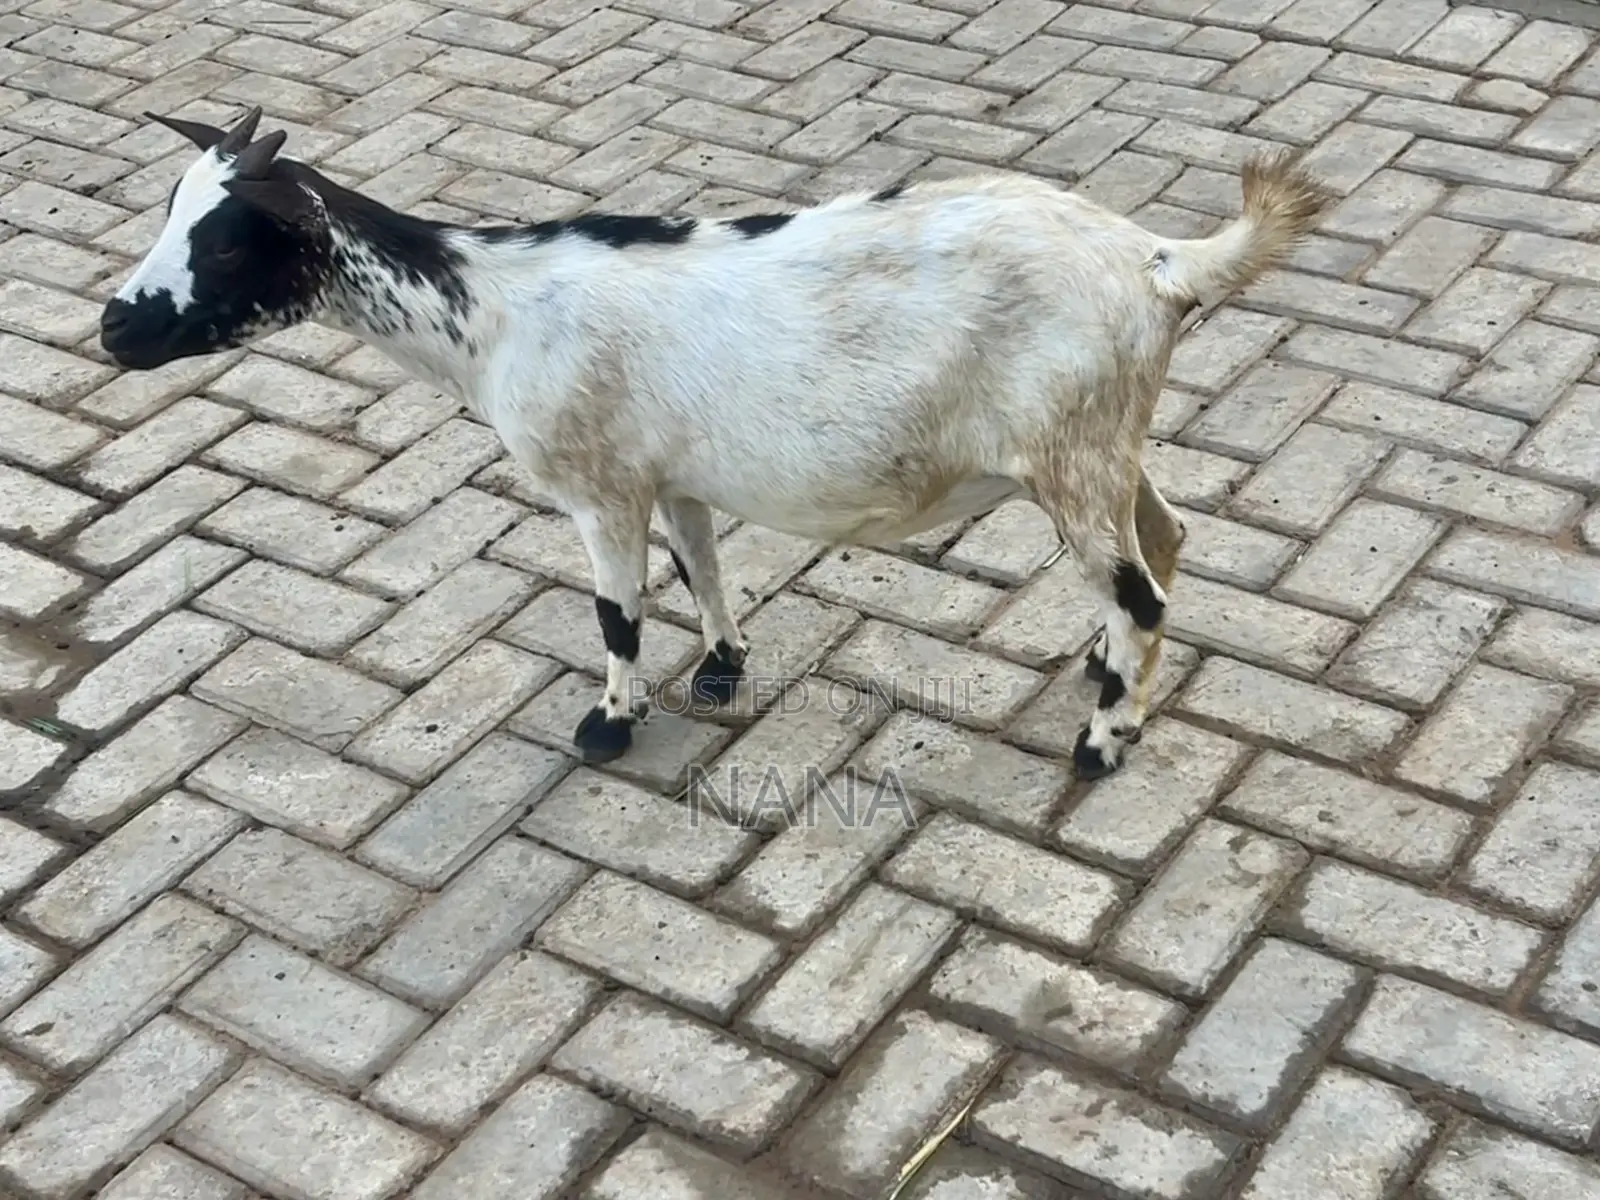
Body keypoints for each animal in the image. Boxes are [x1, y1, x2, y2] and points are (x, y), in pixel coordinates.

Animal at [100, 106, 1329, 780]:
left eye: (230, 240)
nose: (114, 327)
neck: (491, 312)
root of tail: (1154, 262)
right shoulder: (668, 471)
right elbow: (701, 563)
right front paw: (723, 667)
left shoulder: (599, 488)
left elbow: (615, 612)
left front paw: (609, 725)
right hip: (1104, 441)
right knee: (1164, 539)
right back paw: (1108, 681)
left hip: (1071, 455)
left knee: (1138, 592)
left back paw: (1103, 742)